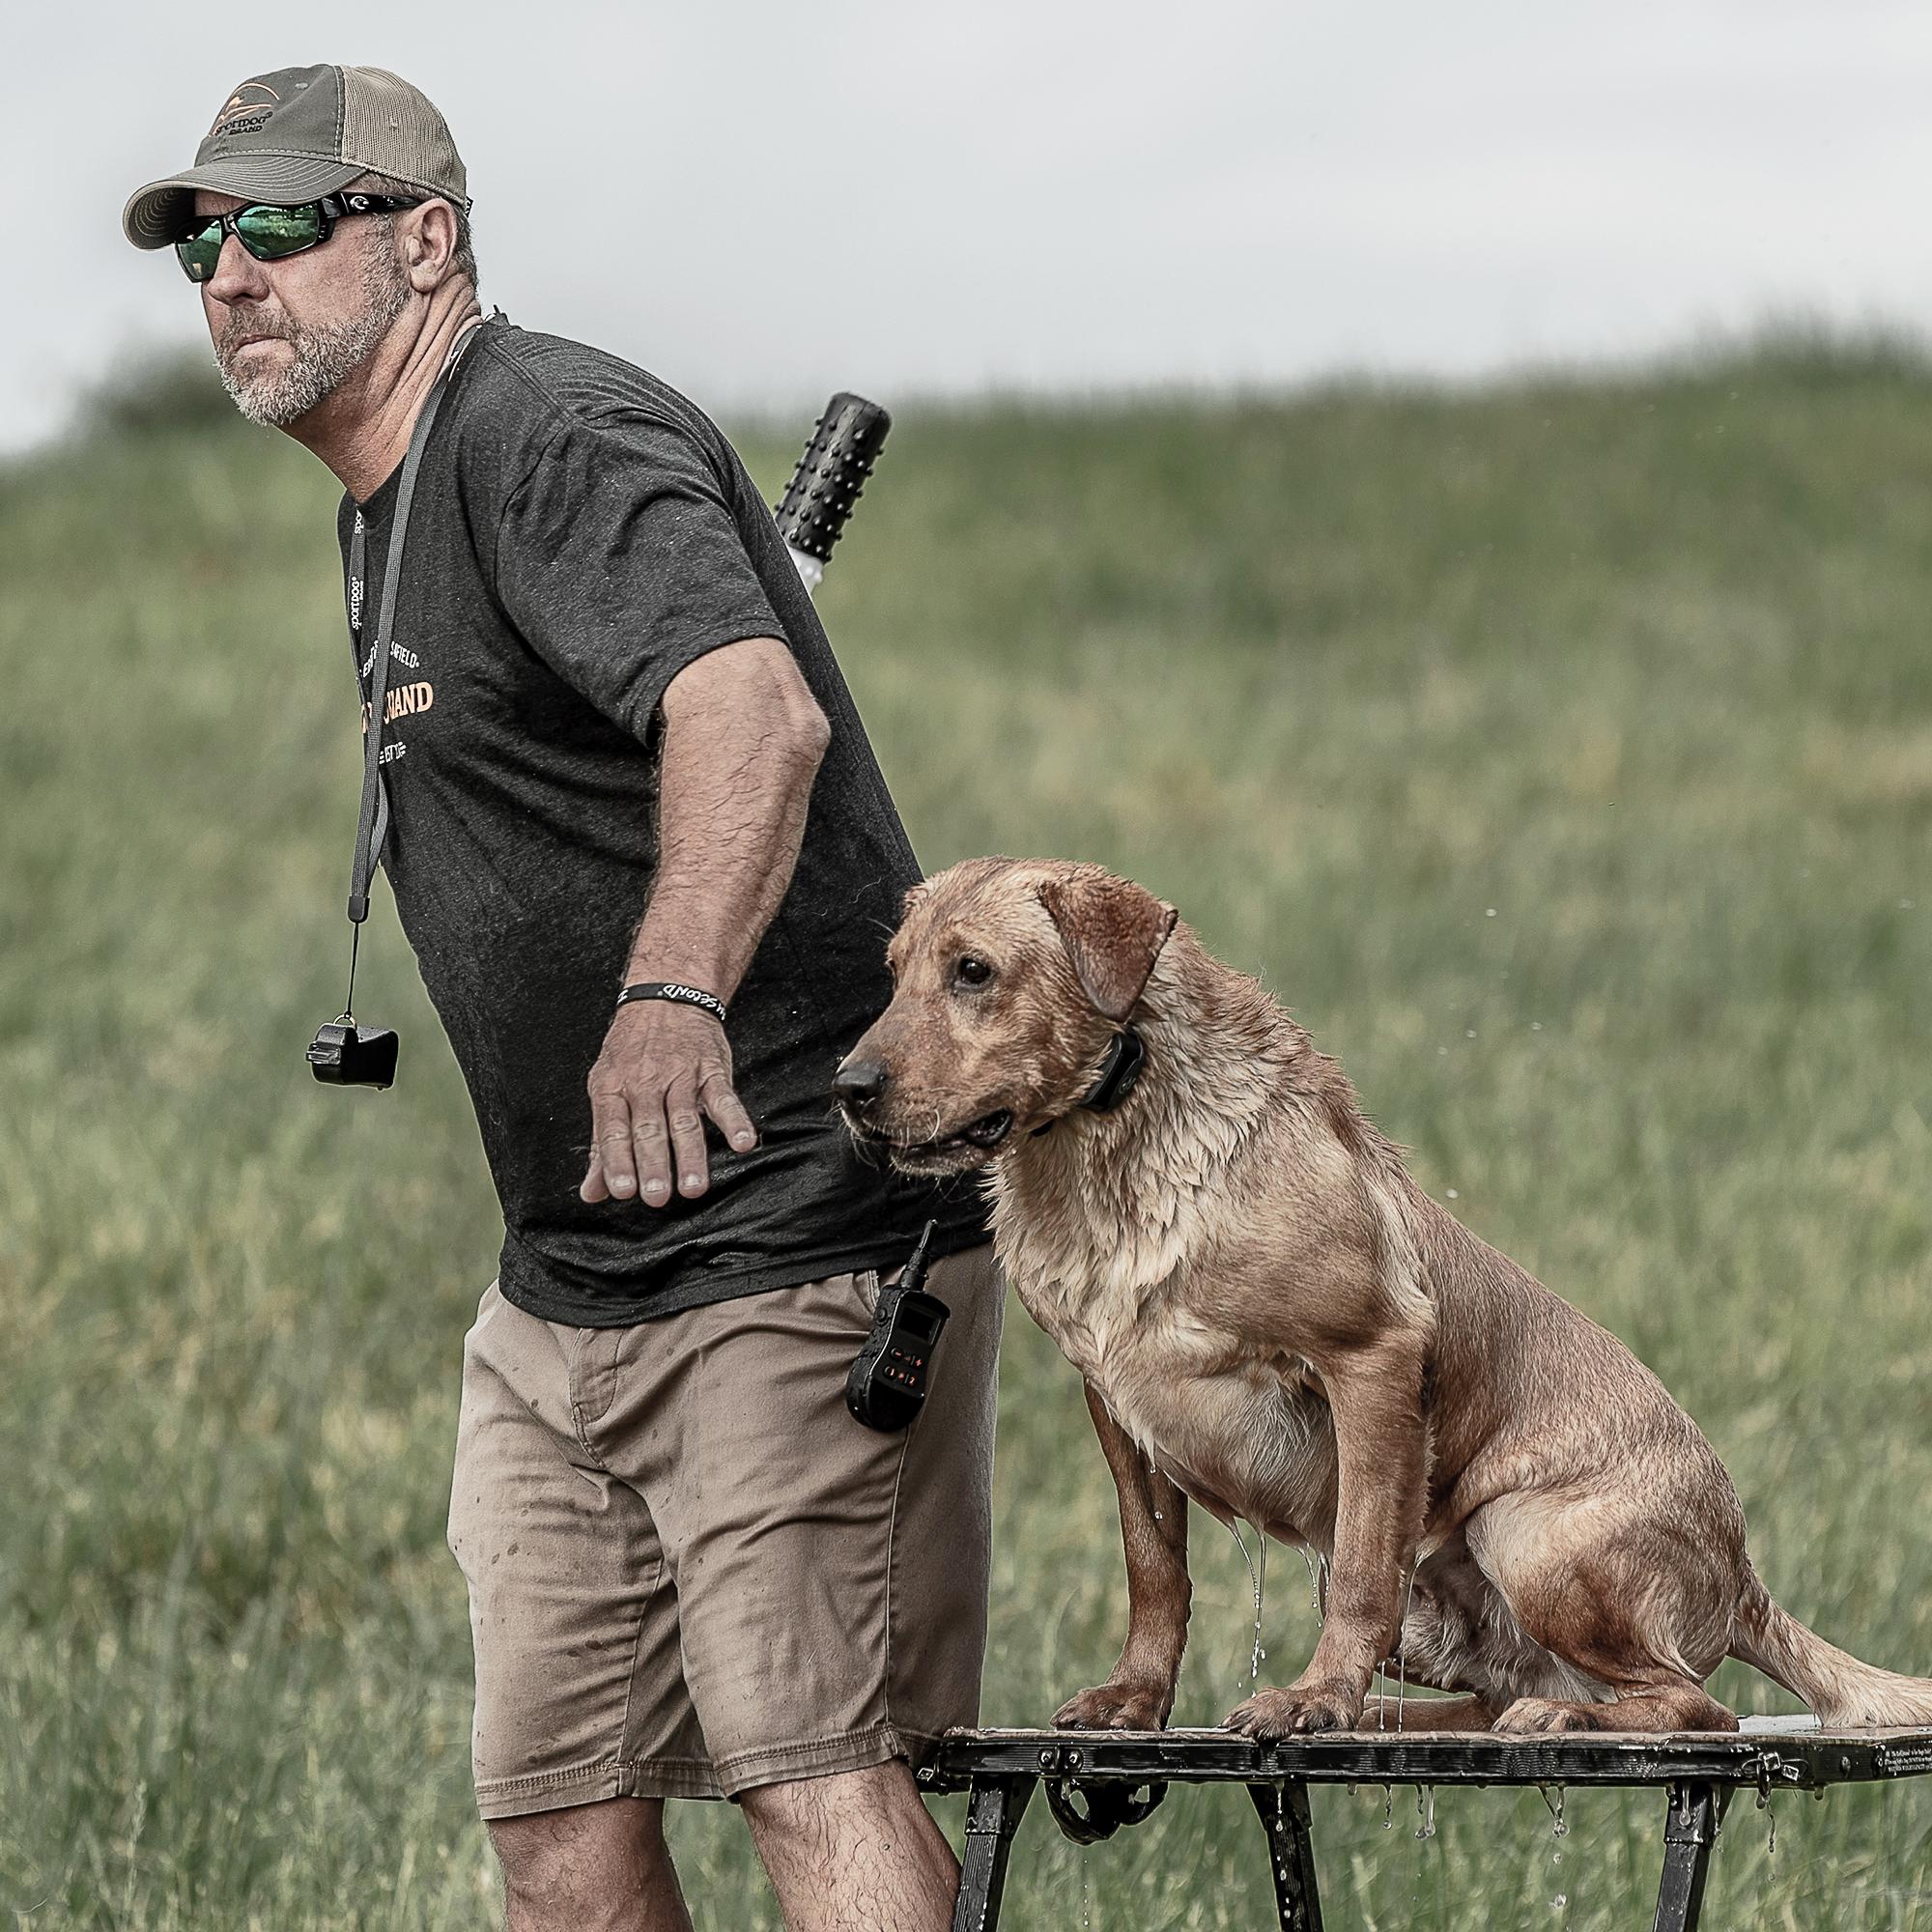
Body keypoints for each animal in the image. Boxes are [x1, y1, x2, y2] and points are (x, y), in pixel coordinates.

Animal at [831, 862, 1932, 1739]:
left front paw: (1309, 1700)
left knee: (1694, 1703)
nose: (847, 1086)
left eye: (973, 971)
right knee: (1509, 1693)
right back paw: (1421, 1715)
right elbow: (1155, 1572)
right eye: (892, 971)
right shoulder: (1113, 1400)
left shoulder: (1370, 1357)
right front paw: (1136, 1699)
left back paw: (1545, 1716)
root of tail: (1744, 1577)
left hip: (1529, 1533)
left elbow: (1361, 1571)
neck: (1112, 1153)